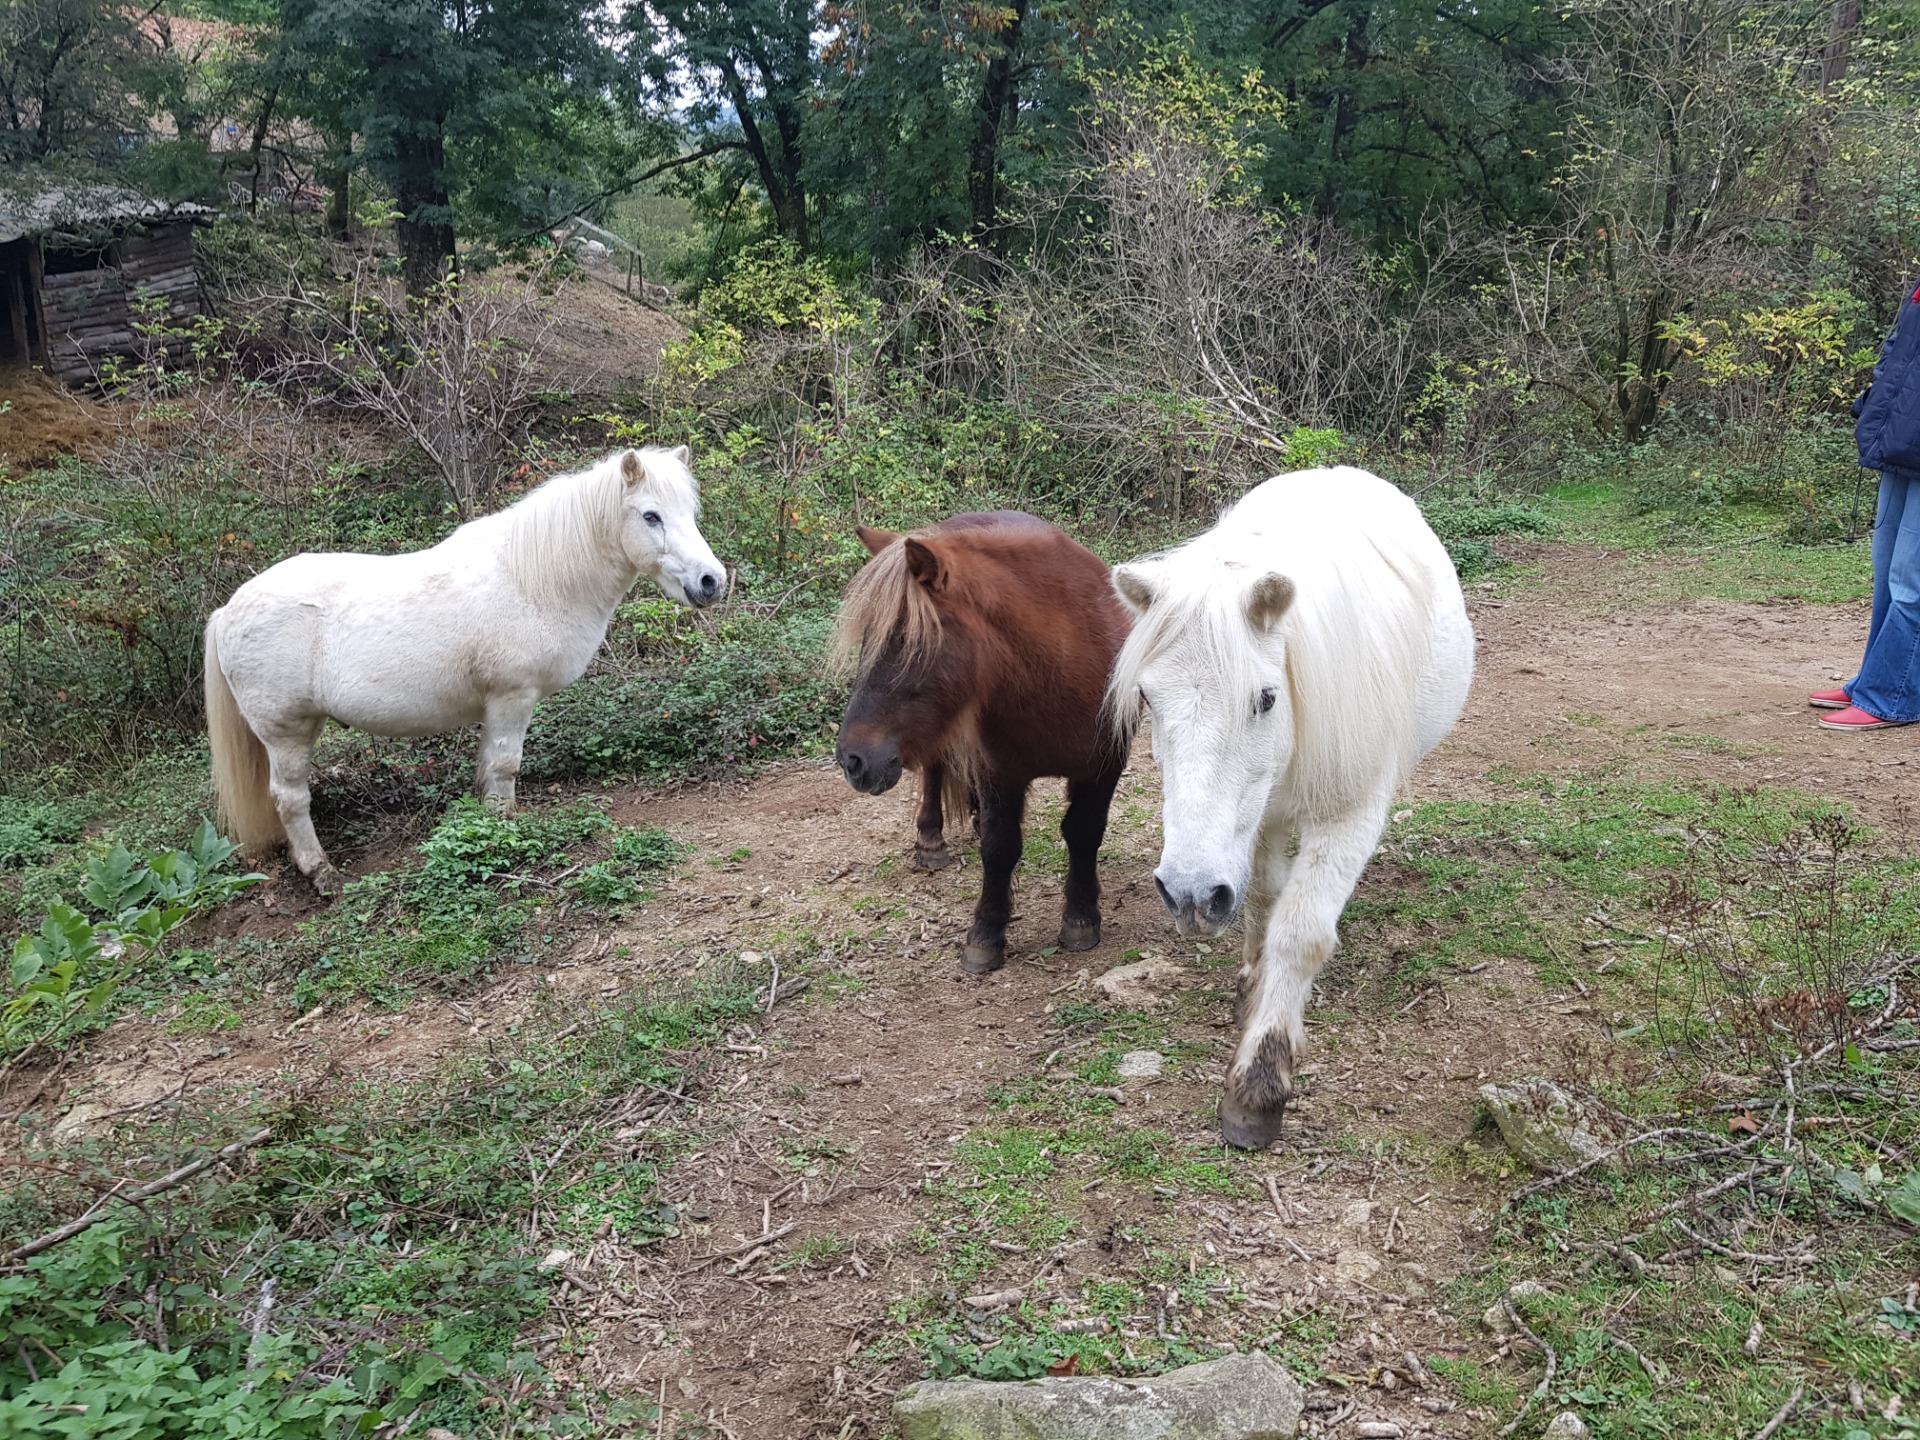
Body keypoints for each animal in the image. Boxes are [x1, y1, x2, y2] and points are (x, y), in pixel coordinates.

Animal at [204, 445, 725, 898]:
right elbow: (506, 765)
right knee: (290, 799)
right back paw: (321, 872)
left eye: (690, 512)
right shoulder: (513, 698)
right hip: (287, 732)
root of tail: (227, 612)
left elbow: (488, 767)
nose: (712, 581)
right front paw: (506, 831)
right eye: (651, 516)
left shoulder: (495, 707)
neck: (532, 580)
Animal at [833, 514, 1128, 975]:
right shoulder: (998, 773)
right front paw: (986, 934)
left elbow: (1083, 832)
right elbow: (1000, 847)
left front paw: (1081, 918)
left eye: (911, 642)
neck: (1054, 671)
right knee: (936, 772)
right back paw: (931, 840)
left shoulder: (1104, 766)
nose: (852, 760)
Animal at [1105, 464, 1474, 1152]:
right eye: (1147, 698)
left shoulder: (1351, 813)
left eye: (1266, 698)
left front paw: (1259, 1086)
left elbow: (1301, 932)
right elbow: (1260, 896)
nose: (1188, 894)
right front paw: (1252, 984)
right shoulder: (1256, 818)